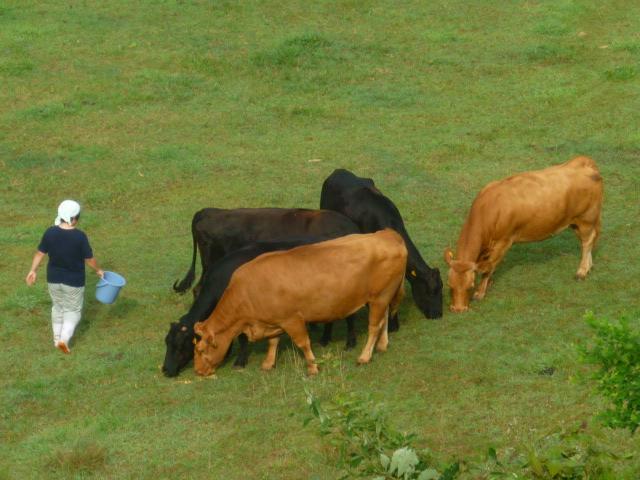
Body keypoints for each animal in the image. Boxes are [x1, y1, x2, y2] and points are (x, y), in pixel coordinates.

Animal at [162, 234, 358, 376]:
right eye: (167, 342)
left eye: (181, 344)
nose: (165, 370)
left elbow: (242, 338)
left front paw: (239, 362)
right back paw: (324, 338)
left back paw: (350, 343)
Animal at [192, 231, 408, 376]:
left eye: (200, 350)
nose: (197, 371)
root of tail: (387, 234)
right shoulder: (275, 320)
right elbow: (273, 341)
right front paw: (268, 363)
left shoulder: (292, 318)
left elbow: (303, 343)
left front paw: (312, 367)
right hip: (383, 296)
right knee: (384, 319)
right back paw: (382, 345)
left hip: (379, 296)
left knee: (374, 326)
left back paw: (364, 356)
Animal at [444, 157, 604, 316]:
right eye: (449, 285)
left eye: (470, 287)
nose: (458, 309)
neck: (489, 209)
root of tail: (582, 162)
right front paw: (488, 284)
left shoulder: (503, 243)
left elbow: (489, 267)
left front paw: (479, 293)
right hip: (575, 222)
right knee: (585, 243)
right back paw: (588, 267)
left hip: (586, 219)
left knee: (587, 242)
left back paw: (581, 272)